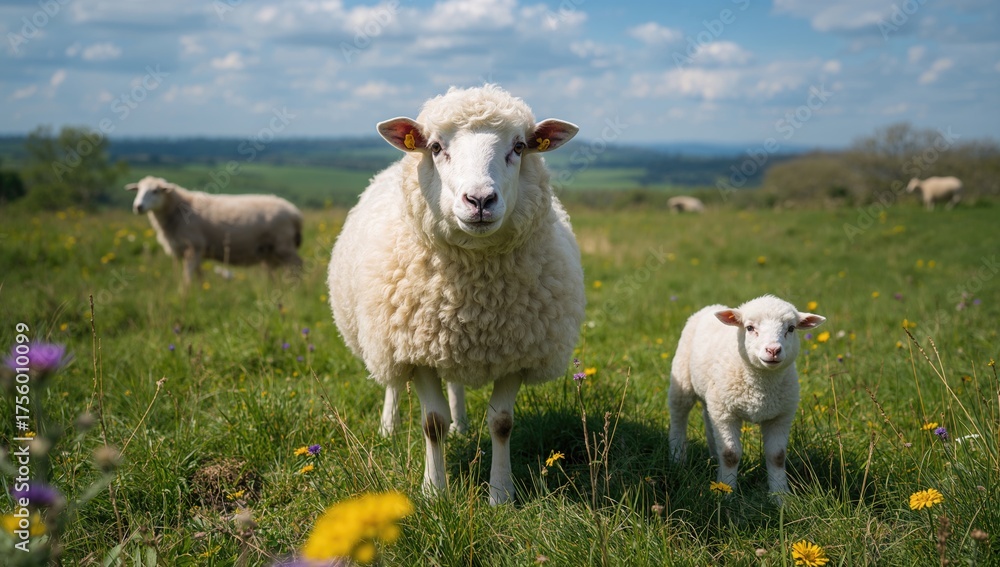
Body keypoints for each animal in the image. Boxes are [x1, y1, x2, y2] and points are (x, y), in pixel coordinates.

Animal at [126, 176, 303, 287]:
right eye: (138, 190)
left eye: (155, 191)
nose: (137, 207)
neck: (178, 209)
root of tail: (294, 212)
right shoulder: (192, 250)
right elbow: (198, 274)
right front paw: (200, 290)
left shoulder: (194, 246)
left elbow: (187, 275)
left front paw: (183, 294)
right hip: (269, 250)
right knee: (276, 271)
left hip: (284, 246)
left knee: (298, 266)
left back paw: (297, 289)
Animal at [327, 84, 585, 505]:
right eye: (435, 147)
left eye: (519, 147)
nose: (479, 200)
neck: (475, 297)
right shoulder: (415, 350)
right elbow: (432, 423)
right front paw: (435, 492)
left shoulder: (517, 349)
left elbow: (501, 422)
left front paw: (501, 494)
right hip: (388, 337)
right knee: (392, 383)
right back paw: (389, 427)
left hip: (448, 340)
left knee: (456, 383)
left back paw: (461, 424)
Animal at [668, 294, 825, 494]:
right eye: (749, 328)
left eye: (791, 328)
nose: (773, 350)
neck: (761, 388)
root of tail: (712, 306)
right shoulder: (726, 413)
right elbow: (730, 454)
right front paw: (726, 492)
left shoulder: (781, 416)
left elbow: (777, 456)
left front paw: (781, 495)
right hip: (683, 380)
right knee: (679, 416)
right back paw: (677, 458)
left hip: (712, 396)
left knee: (708, 419)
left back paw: (713, 457)